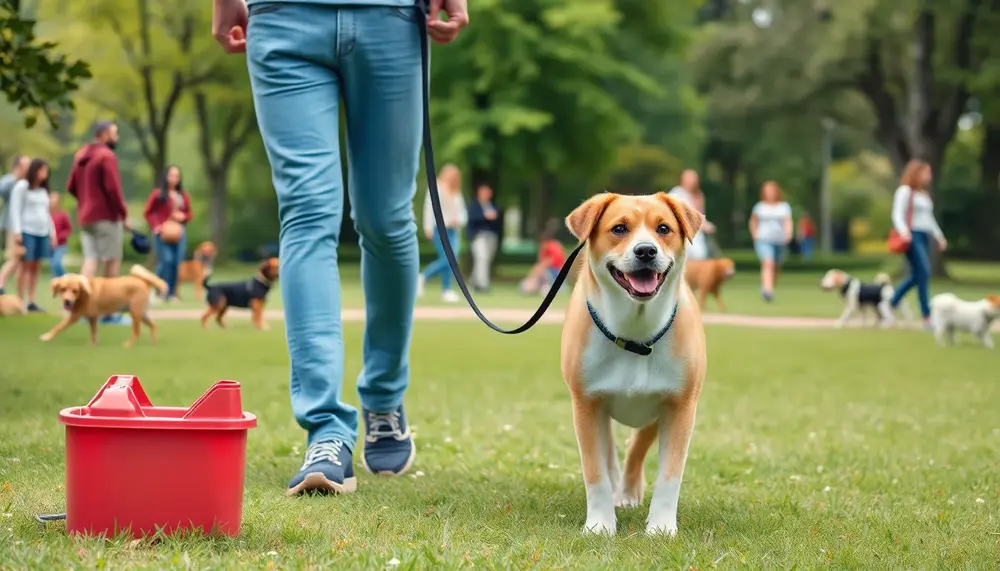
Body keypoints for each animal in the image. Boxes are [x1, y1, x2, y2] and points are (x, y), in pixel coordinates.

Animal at [560, 192, 708, 536]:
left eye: (663, 228)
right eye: (619, 228)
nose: (646, 250)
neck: (635, 336)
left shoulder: (680, 405)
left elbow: (670, 476)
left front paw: (661, 528)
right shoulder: (586, 403)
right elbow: (595, 472)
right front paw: (599, 525)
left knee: (636, 447)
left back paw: (628, 491)